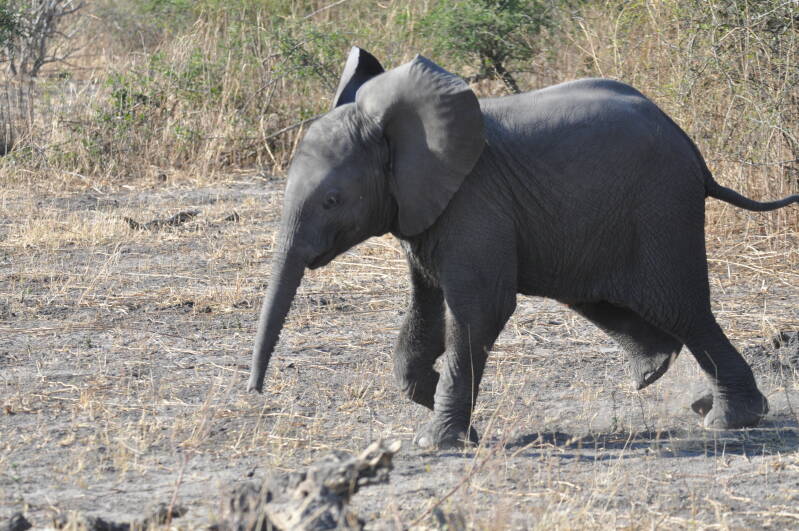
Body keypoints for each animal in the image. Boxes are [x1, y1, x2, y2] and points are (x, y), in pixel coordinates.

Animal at [248, 46, 799, 449]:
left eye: (333, 200)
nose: (254, 391)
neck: (396, 133)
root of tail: (693, 151)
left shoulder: (473, 203)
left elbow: (478, 308)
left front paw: (438, 441)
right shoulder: (423, 212)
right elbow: (426, 312)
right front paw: (445, 407)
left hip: (661, 209)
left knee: (682, 307)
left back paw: (726, 421)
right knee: (607, 300)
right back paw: (668, 381)